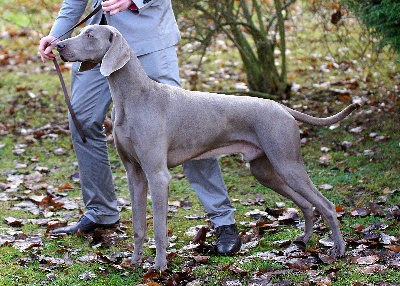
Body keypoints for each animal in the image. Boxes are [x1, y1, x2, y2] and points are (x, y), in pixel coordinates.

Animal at [56, 24, 360, 270]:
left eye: (90, 35)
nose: (58, 45)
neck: (132, 98)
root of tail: (282, 107)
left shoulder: (158, 175)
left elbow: (159, 229)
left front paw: (159, 267)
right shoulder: (135, 174)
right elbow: (139, 226)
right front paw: (134, 262)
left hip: (287, 163)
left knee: (326, 205)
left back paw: (339, 250)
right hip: (265, 170)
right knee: (307, 205)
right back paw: (304, 240)